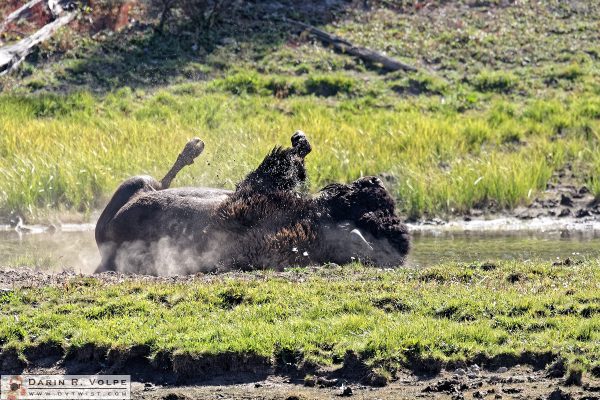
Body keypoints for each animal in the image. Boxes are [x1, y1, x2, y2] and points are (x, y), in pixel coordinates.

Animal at [95, 132, 412, 276]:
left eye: (368, 213)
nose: (374, 181)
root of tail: (105, 257)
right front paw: (301, 139)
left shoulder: (248, 204)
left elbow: (276, 166)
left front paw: (297, 143)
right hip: (137, 183)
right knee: (160, 183)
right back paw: (192, 149)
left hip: (124, 204)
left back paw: (190, 151)